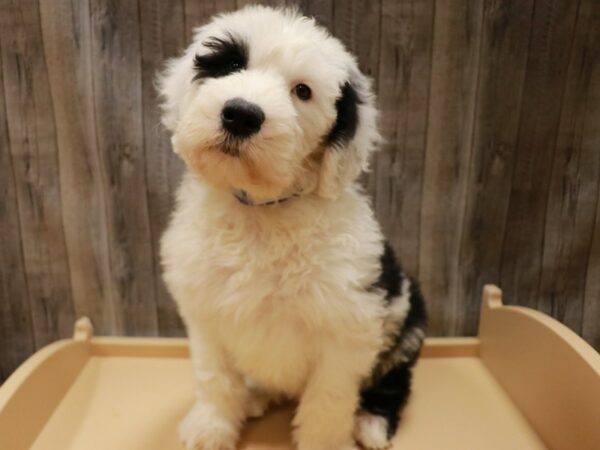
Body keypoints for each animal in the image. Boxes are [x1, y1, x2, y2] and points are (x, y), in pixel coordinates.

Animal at [159, 4, 426, 450]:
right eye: (230, 64)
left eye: (302, 91)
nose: (241, 114)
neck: (262, 211)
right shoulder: (205, 314)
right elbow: (214, 378)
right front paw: (211, 428)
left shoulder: (347, 329)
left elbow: (328, 400)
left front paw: (325, 441)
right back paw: (254, 396)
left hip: (406, 324)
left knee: (394, 381)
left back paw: (371, 423)